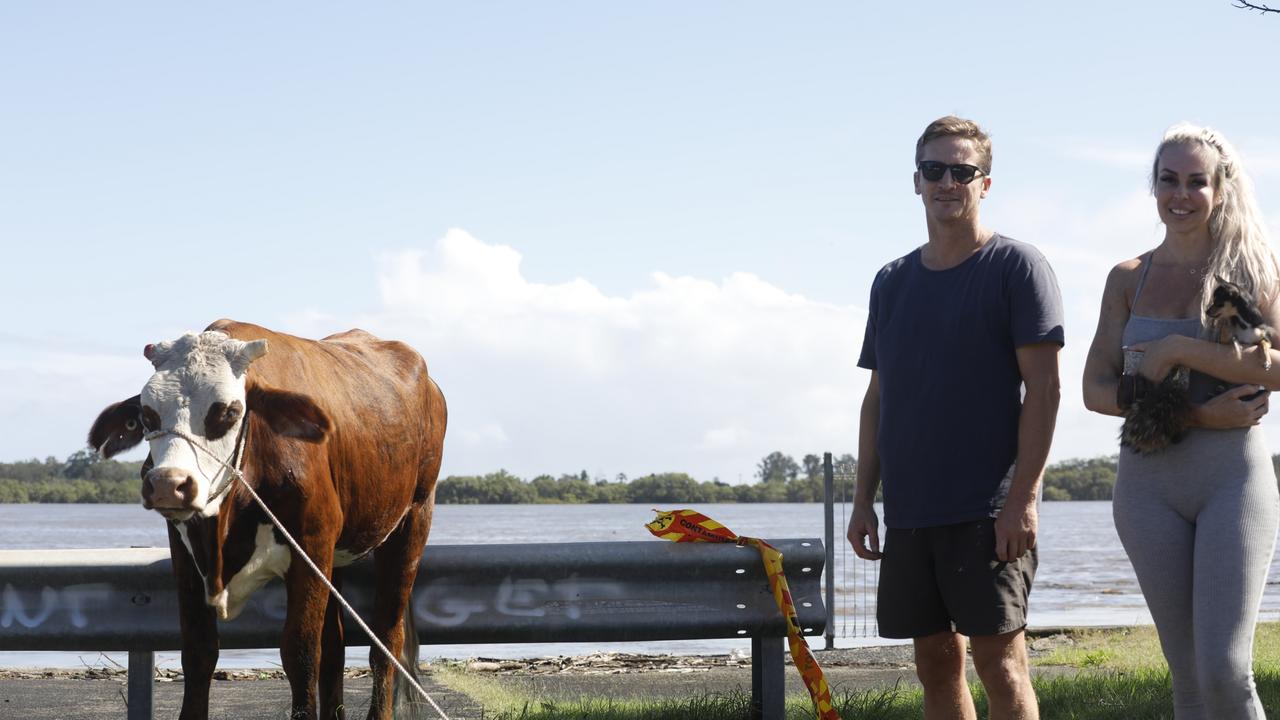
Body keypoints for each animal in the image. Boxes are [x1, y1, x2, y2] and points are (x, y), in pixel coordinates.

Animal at [87, 320, 448, 717]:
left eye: (228, 412)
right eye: (148, 415)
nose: (169, 484)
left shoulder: (310, 547)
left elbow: (300, 653)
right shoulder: (186, 556)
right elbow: (198, 651)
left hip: (412, 522)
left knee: (386, 638)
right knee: (335, 645)